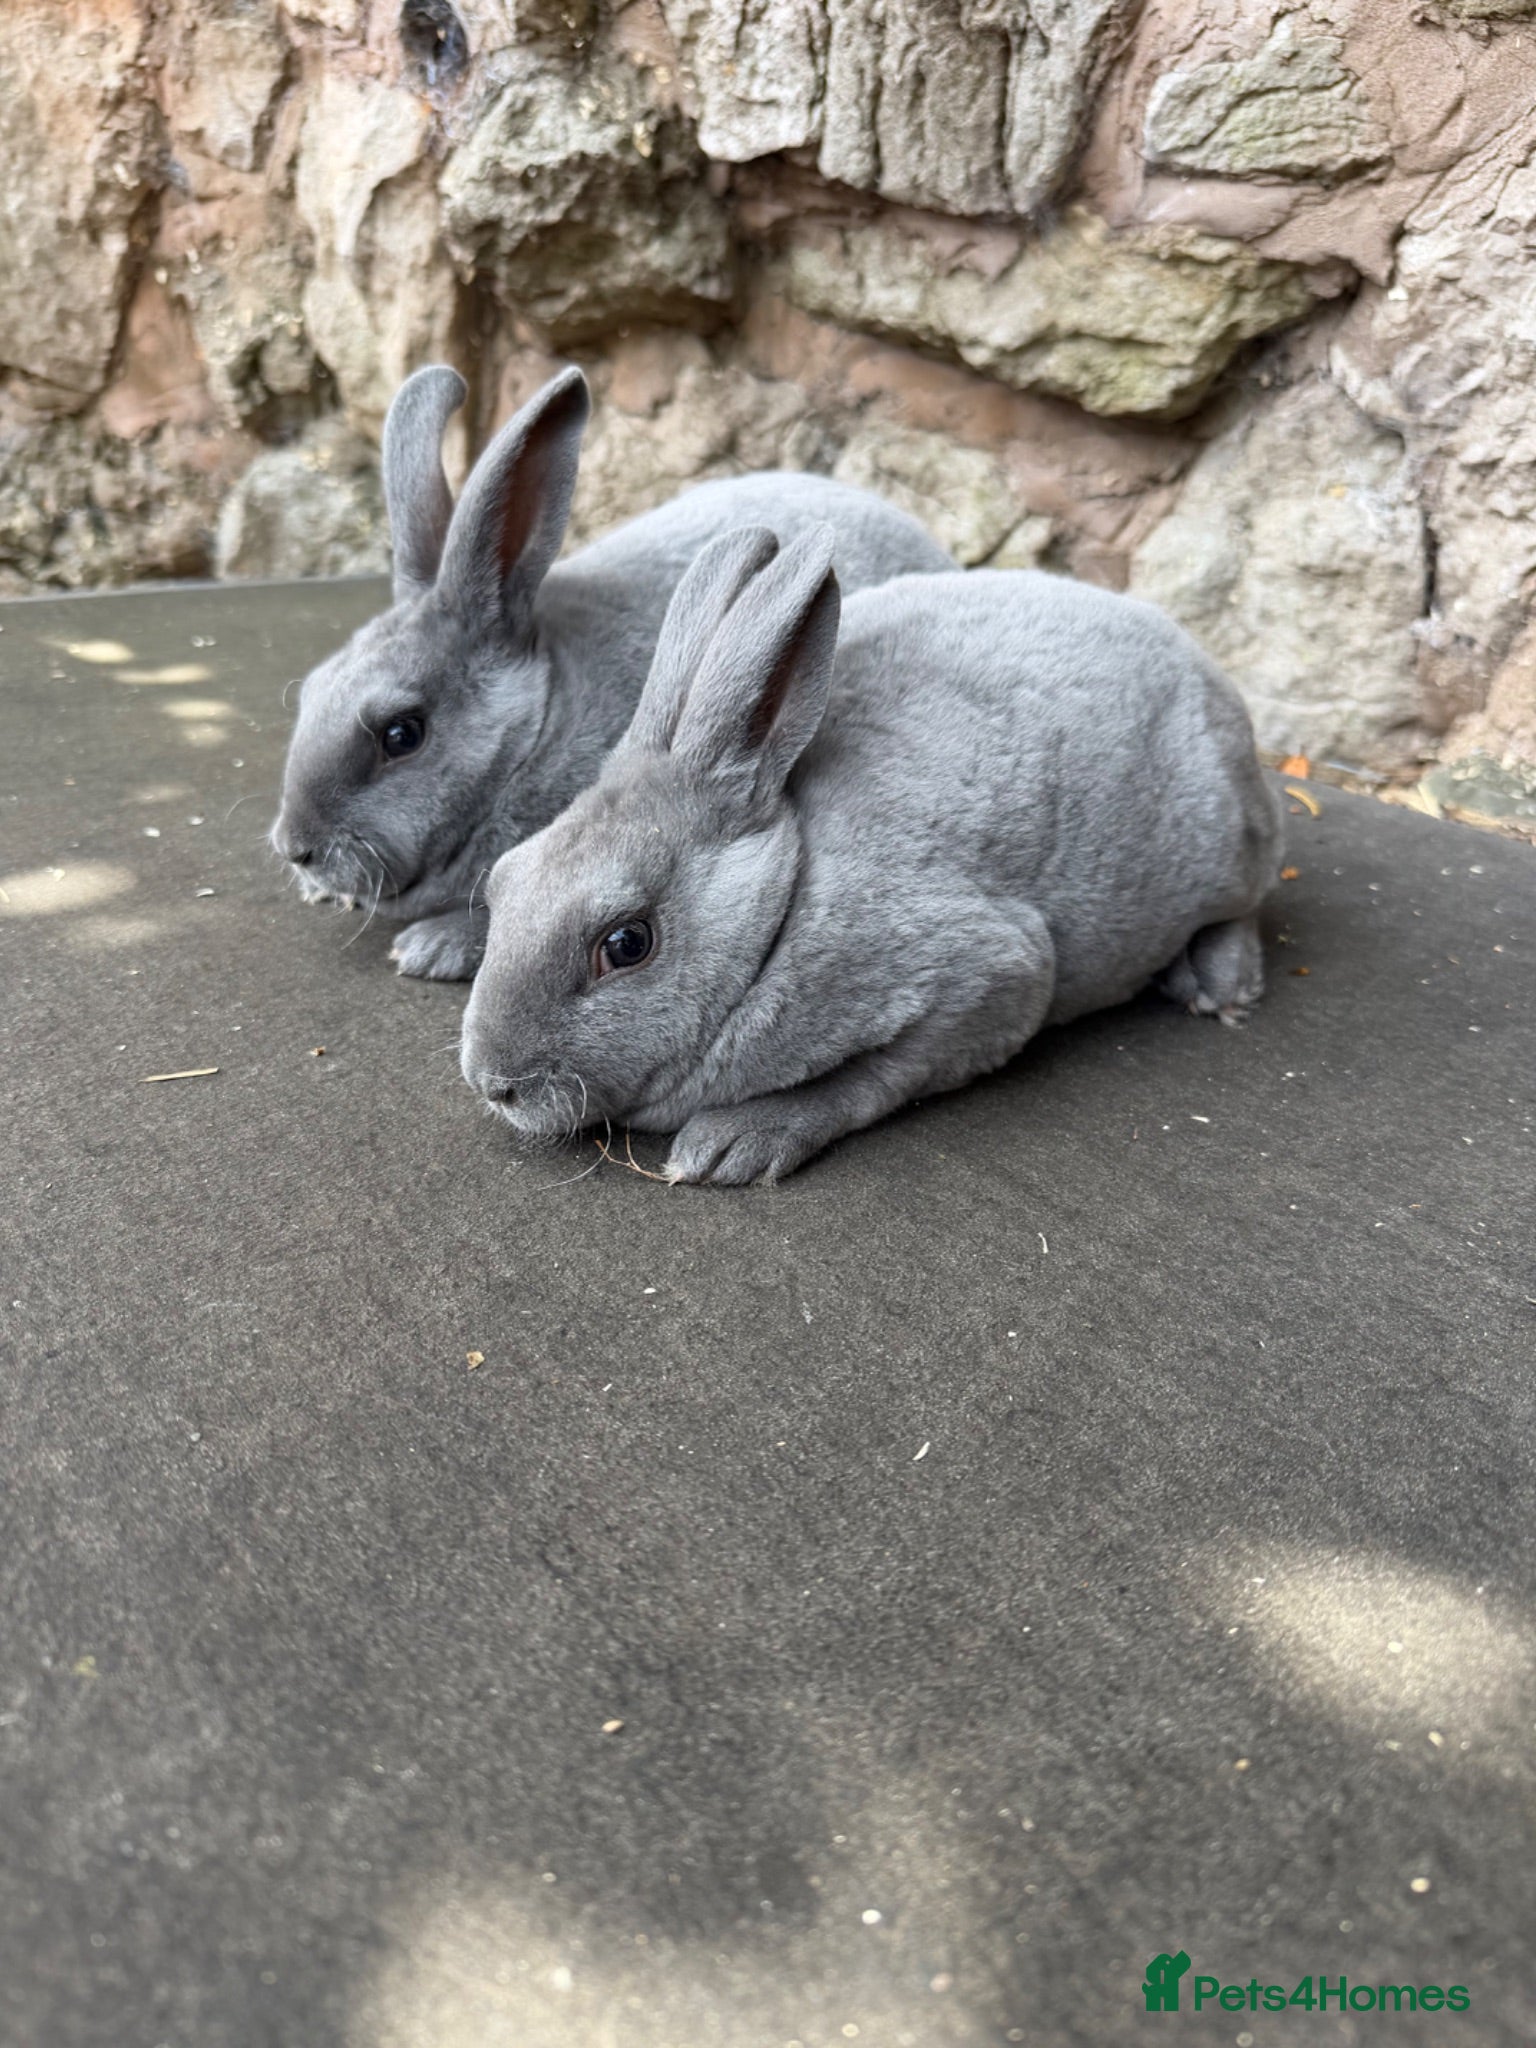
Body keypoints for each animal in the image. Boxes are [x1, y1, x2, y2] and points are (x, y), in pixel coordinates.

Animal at [459, 523, 1284, 1185]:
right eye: (502, 882)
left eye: (627, 943)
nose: (493, 1084)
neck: (785, 903)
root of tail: (1200, 663)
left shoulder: (996, 977)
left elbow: (868, 1081)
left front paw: (732, 1146)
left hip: (1228, 845)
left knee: (1245, 906)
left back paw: (1222, 984)